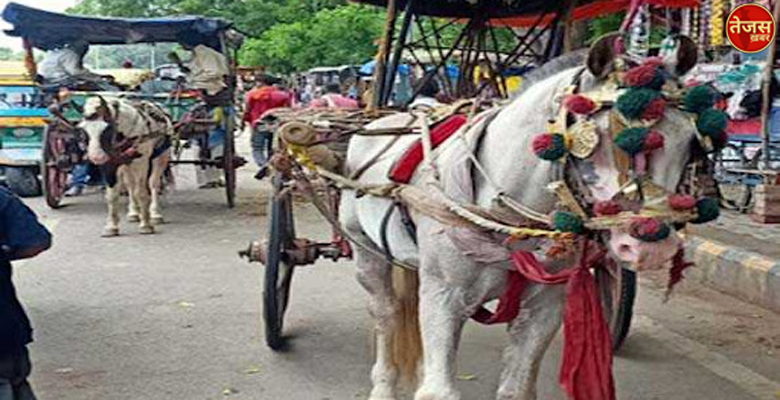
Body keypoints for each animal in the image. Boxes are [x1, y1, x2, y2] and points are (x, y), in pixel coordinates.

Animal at [80, 96, 173, 236]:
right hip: (126, 165)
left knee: (153, 183)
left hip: (161, 157)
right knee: (130, 185)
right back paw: (135, 212)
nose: (96, 157)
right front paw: (112, 227)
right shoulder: (109, 165)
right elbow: (112, 195)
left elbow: (141, 192)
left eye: (106, 129)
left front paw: (146, 225)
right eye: (83, 129)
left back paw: (155, 214)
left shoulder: (141, 162)